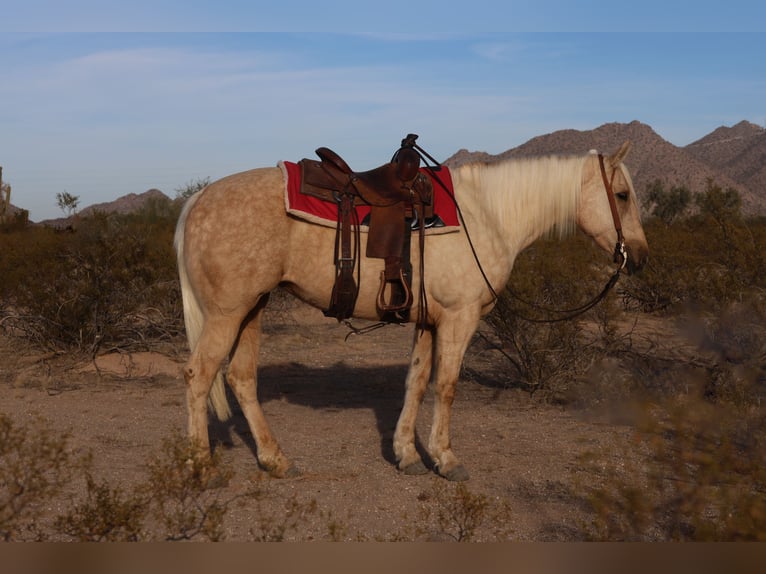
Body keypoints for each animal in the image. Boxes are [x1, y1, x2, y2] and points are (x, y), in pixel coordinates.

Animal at [174, 142, 648, 484]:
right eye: (622, 195)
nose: (639, 257)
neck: (487, 216)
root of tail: (197, 200)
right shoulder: (459, 318)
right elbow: (446, 386)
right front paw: (446, 459)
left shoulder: (427, 321)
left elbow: (416, 384)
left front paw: (406, 455)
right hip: (227, 313)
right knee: (200, 375)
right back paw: (202, 466)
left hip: (252, 308)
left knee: (240, 378)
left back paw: (275, 460)